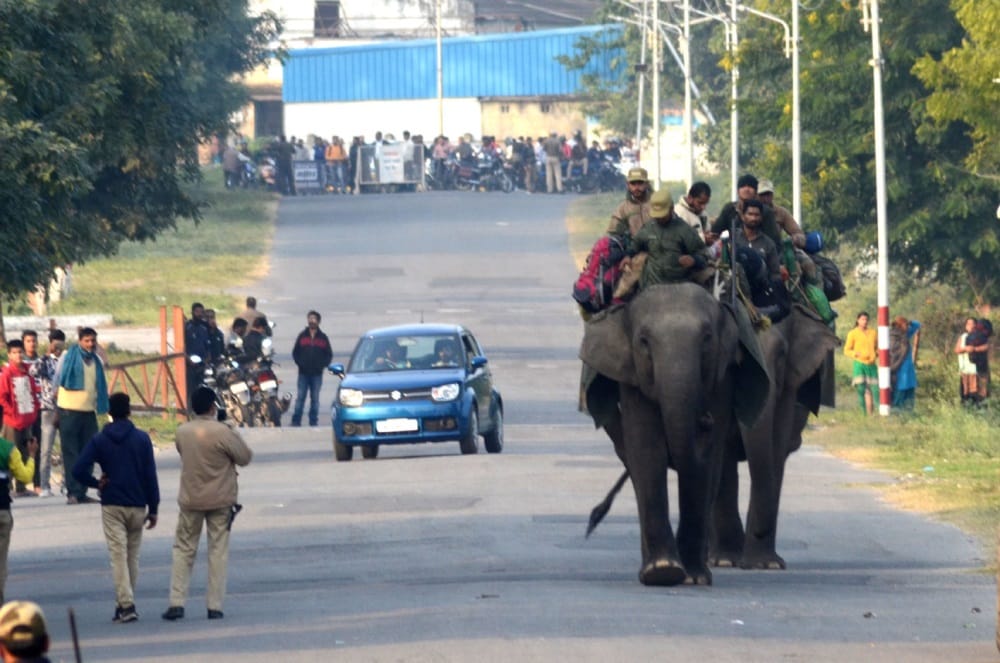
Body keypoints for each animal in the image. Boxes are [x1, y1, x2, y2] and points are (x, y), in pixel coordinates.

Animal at [579, 283, 770, 586]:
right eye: (644, 340)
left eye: (707, 338)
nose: (704, 420)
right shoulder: (633, 376)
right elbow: (647, 449)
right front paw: (662, 571)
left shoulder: (722, 376)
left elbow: (707, 466)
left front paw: (693, 577)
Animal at [710, 304, 840, 570]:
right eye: (736, 356)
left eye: (781, 356)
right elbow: (724, 453)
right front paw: (725, 560)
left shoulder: (789, 384)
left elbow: (776, 447)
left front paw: (766, 564)